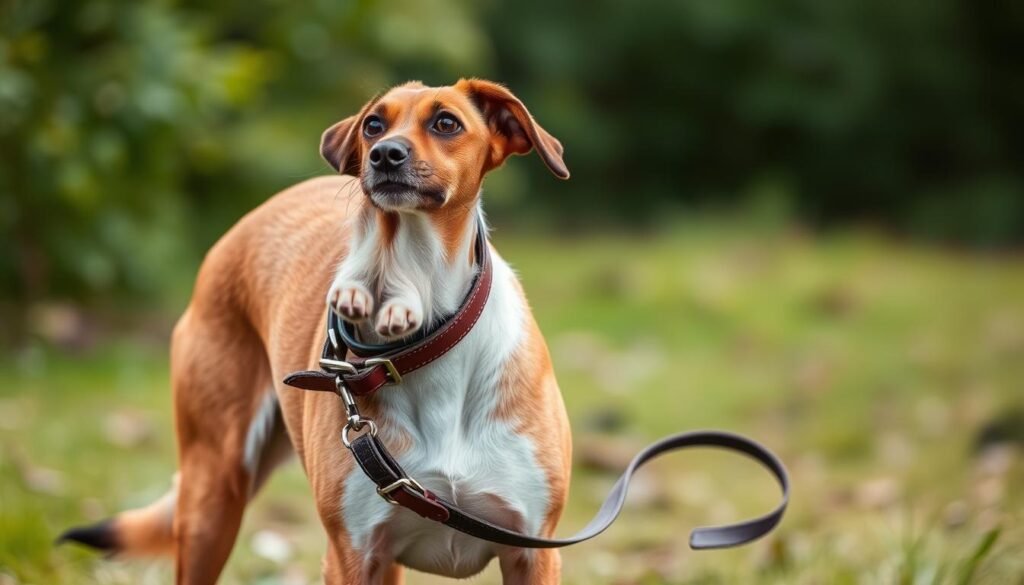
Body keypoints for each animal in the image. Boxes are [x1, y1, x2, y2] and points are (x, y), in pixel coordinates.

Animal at [61, 78, 577, 585]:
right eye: (373, 124)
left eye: (446, 123)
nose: (384, 154)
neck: (430, 340)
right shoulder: (353, 553)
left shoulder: (531, 552)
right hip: (212, 495)